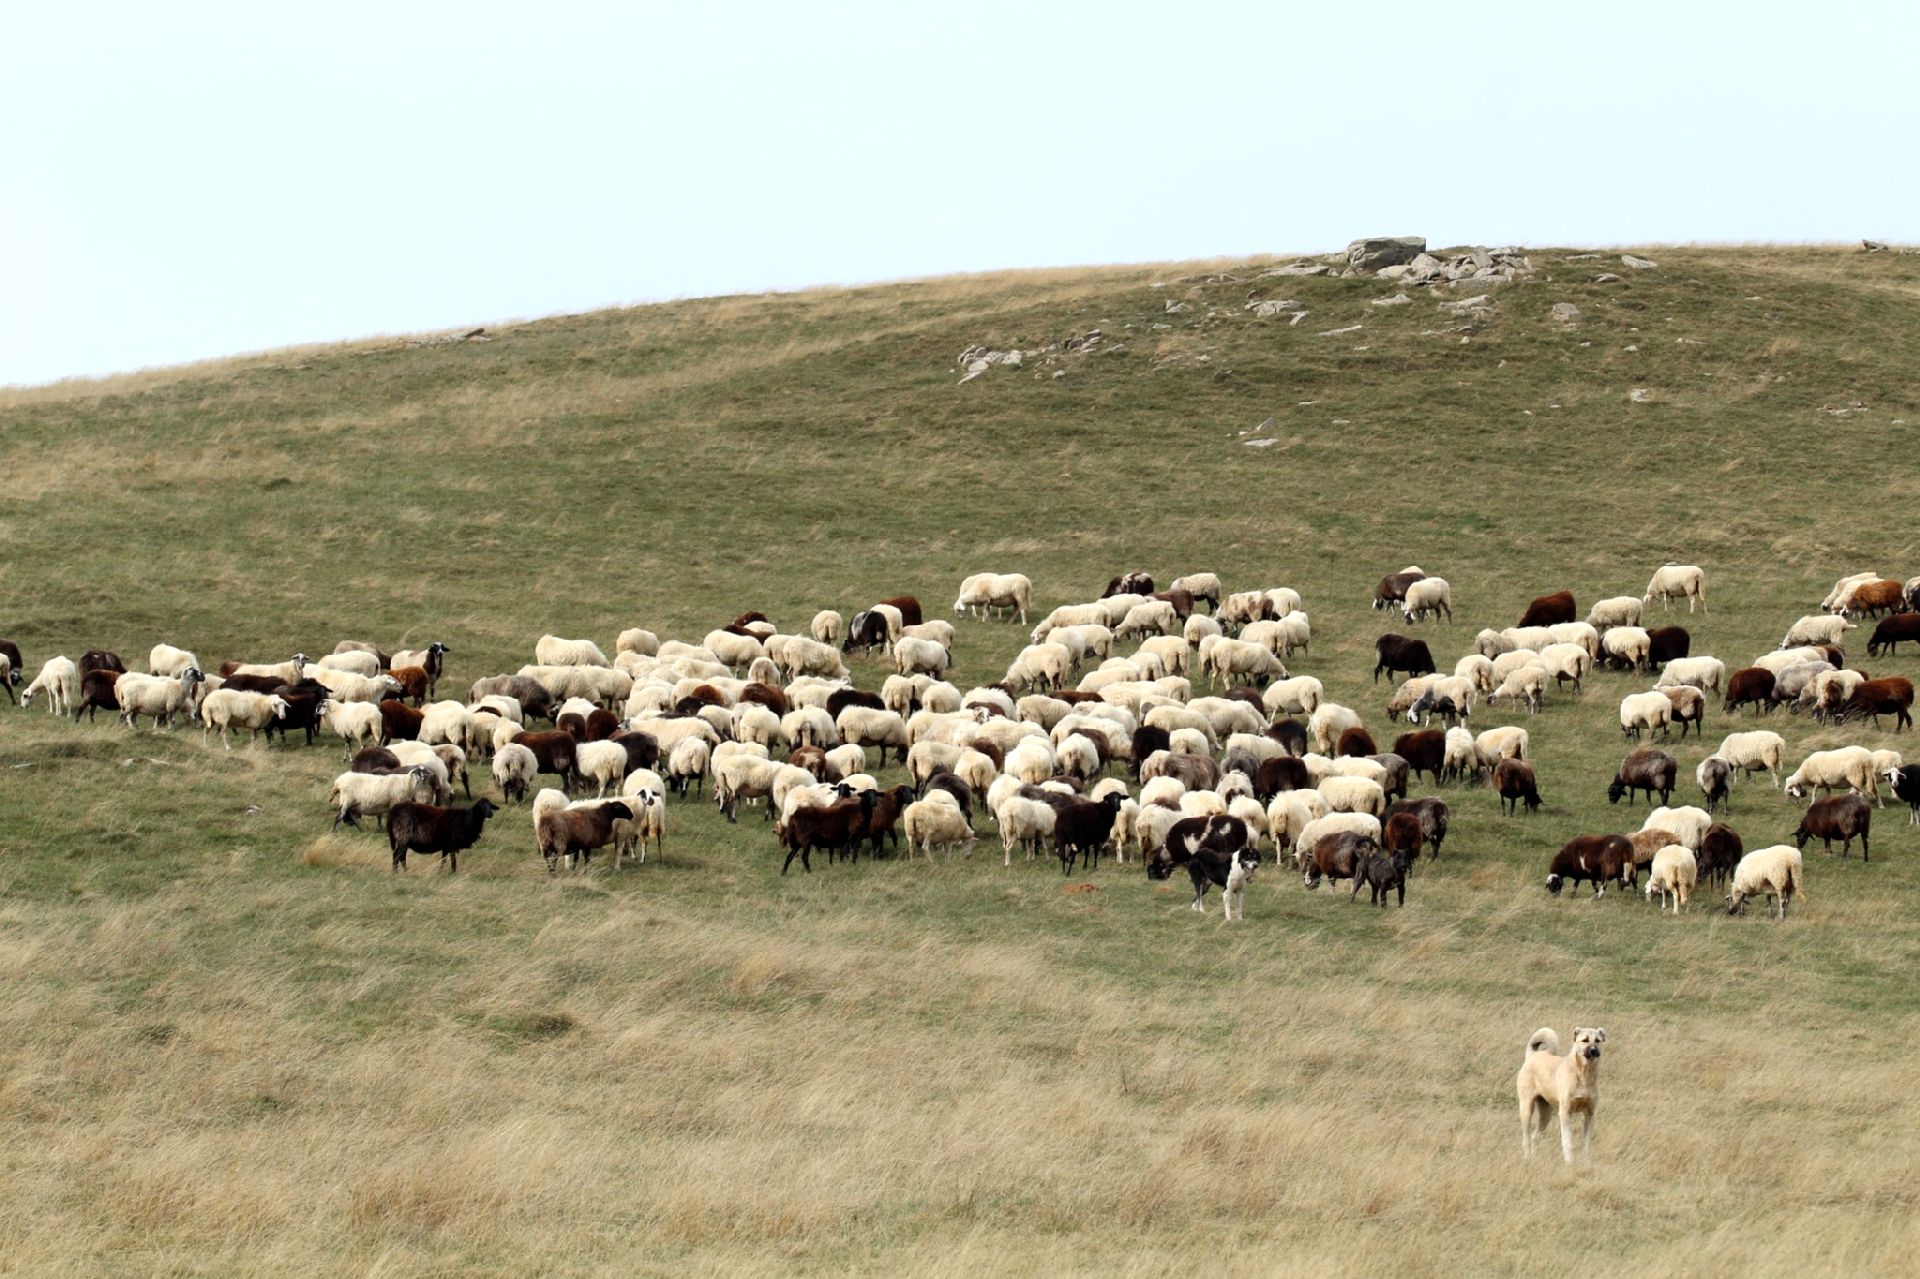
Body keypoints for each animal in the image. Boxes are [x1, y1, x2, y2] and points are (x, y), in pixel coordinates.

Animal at [1512, 1021, 1605, 1159]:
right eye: (1585, 1040)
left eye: (1598, 1040)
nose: (1594, 1051)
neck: (1584, 1074)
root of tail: (1533, 1056)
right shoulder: (1565, 1113)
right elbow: (1567, 1141)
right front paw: (1569, 1162)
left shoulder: (1590, 1113)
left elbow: (1586, 1144)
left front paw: (1586, 1161)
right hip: (1526, 1109)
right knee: (1526, 1138)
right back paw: (1528, 1158)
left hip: (1545, 1114)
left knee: (1534, 1136)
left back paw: (1535, 1158)